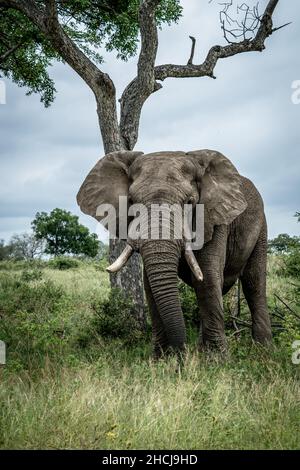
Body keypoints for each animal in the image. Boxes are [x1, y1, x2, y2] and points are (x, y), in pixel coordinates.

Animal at [77, 151, 272, 356]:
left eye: (189, 202)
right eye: (132, 203)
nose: (182, 353)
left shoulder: (215, 219)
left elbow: (207, 278)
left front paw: (215, 359)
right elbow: (150, 286)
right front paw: (160, 359)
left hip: (261, 226)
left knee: (253, 283)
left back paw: (264, 352)